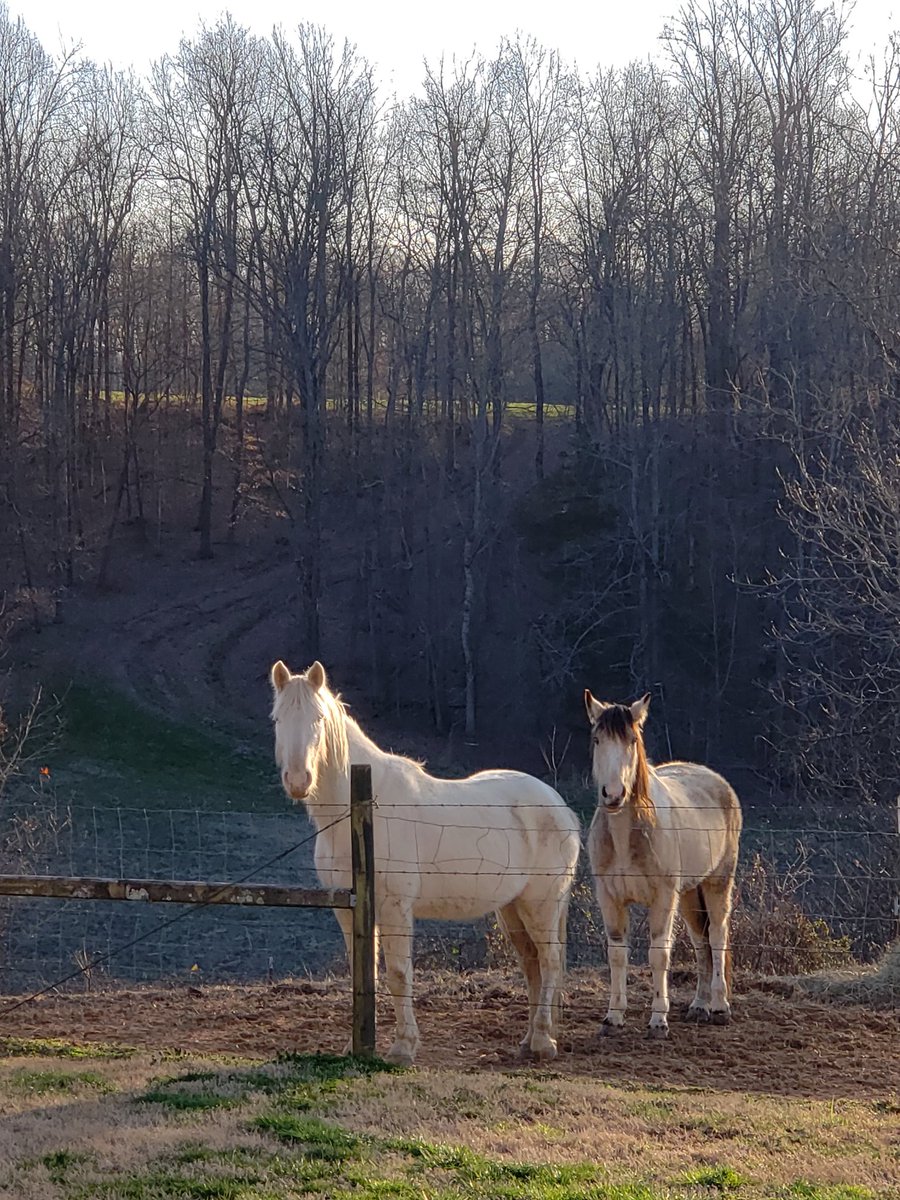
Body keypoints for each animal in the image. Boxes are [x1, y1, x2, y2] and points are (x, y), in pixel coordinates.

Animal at [270, 659, 581, 1065]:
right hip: (512, 908)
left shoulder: (395, 907)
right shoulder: (348, 909)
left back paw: (544, 1041)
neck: (360, 811)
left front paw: (403, 1047)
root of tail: (562, 808)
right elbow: (362, 972)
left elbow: (399, 973)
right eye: (278, 719)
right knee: (532, 965)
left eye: (319, 719)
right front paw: (356, 1046)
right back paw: (529, 1040)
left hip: (541, 904)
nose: (298, 780)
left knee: (550, 962)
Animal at [584, 690, 742, 1038]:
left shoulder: (663, 898)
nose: (613, 795)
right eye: (597, 740)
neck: (626, 836)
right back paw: (699, 1006)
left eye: (632, 740)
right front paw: (613, 1017)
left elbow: (659, 955)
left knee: (717, 936)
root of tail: (718, 782)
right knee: (700, 942)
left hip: (716, 883)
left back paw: (719, 1007)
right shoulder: (610, 898)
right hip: (689, 893)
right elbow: (617, 954)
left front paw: (658, 1020)